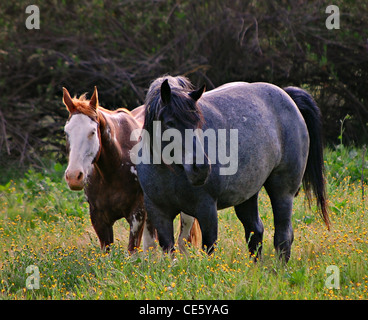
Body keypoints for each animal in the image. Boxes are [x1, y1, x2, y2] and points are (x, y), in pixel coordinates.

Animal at [61, 86, 200, 251]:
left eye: (92, 132)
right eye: (66, 132)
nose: (74, 176)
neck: (112, 171)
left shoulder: (137, 214)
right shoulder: (98, 218)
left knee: (182, 241)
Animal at [136, 75, 330, 262]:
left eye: (198, 122)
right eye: (169, 123)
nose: (201, 168)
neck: (170, 172)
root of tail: (287, 96)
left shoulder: (206, 209)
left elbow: (209, 247)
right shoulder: (158, 212)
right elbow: (169, 250)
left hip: (283, 191)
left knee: (283, 235)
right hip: (247, 195)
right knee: (255, 230)